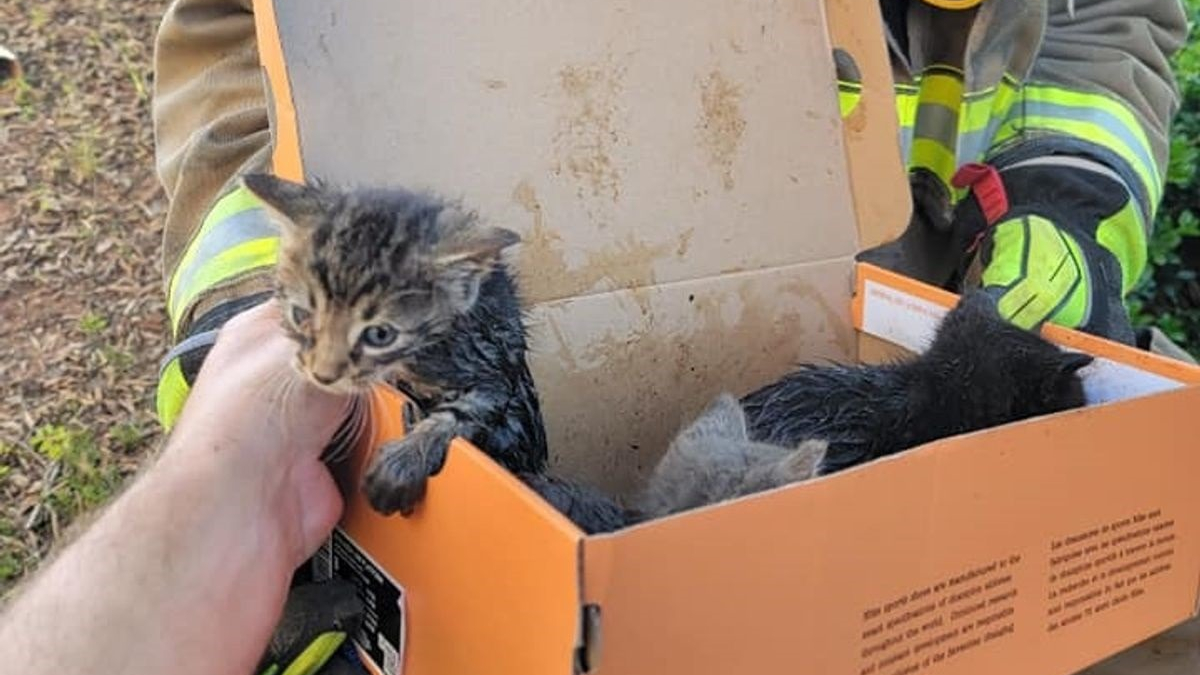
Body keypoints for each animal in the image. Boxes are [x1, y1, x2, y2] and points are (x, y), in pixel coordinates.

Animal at [242, 172, 549, 514]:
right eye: (300, 314)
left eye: (379, 335)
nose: (322, 376)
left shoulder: (493, 371)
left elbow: (462, 413)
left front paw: (402, 462)